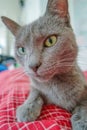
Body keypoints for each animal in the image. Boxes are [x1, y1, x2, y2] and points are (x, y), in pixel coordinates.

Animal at [1, 0, 87, 129]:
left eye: (50, 41)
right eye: (22, 50)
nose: (33, 66)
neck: (55, 84)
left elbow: (84, 105)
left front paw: (82, 121)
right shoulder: (34, 85)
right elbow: (34, 92)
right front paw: (26, 108)